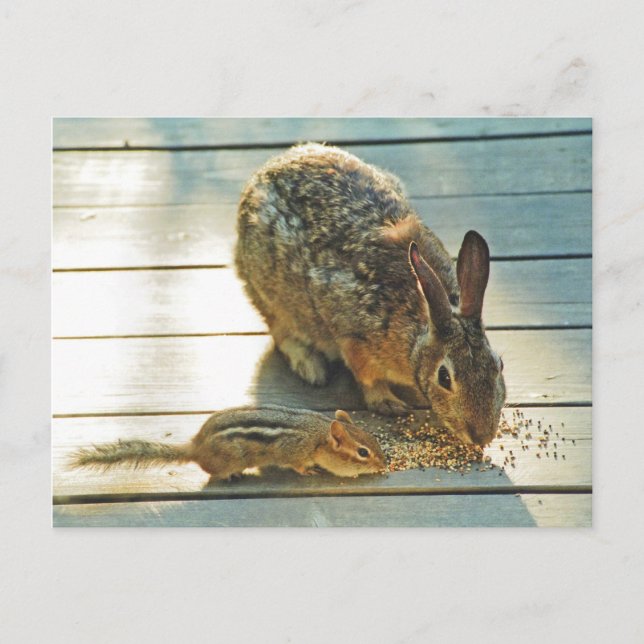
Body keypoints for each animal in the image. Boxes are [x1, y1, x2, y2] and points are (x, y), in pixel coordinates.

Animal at [235, 143, 506, 446]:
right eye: (444, 377)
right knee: (281, 330)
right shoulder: (354, 338)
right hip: (270, 293)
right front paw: (388, 403)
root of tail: (265, 171)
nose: (482, 436)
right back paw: (311, 368)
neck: (417, 331)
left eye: (499, 365)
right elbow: (368, 377)